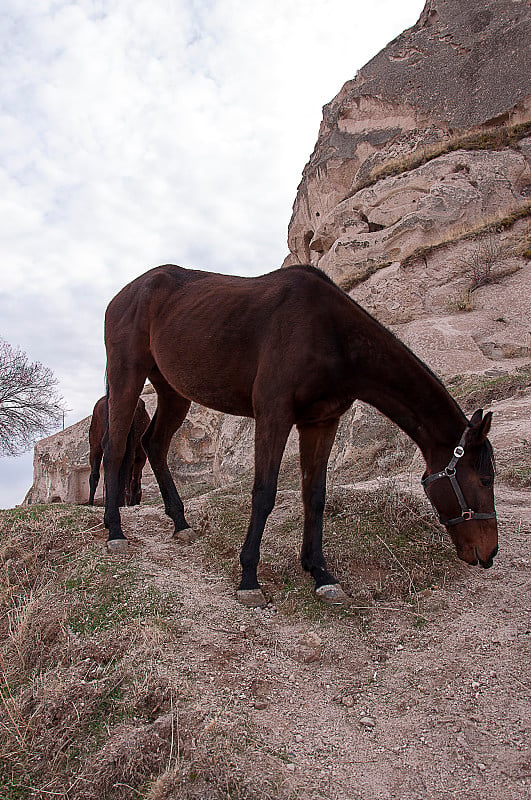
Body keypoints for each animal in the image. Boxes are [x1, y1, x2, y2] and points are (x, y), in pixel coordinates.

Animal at [104, 264, 498, 608]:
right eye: (484, 479)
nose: (490, 552)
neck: (331, 334)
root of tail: (124, 294)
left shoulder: (321, 423)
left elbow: (315, 496)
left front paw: (320, 572)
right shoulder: (274, 414)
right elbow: (264, 493)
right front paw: (249, 579)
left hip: (173, 391)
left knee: (154, 444)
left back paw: (180, 523)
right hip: (127, 375)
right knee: (115, 449)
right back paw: (115, 532)